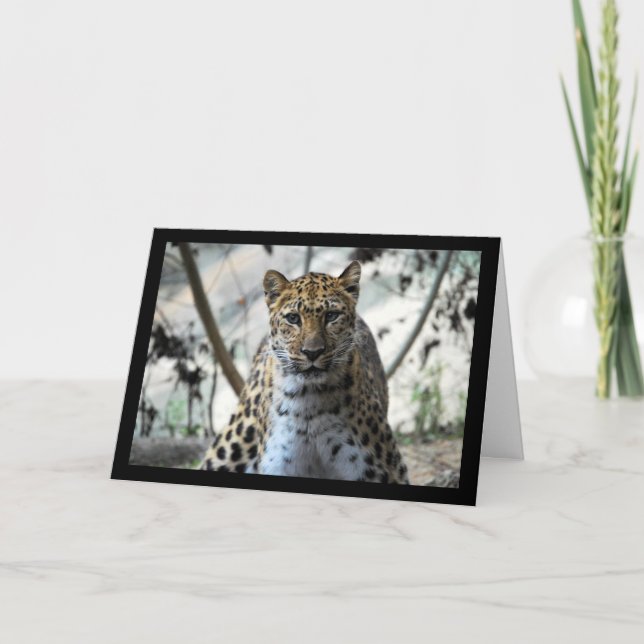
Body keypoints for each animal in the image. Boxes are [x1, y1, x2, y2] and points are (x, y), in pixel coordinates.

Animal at [200, 260, 409, 484]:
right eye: (293, 318)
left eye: (331, 316)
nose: (312, 352)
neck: (309, 404)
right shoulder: (278, 466)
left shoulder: (384, 471)